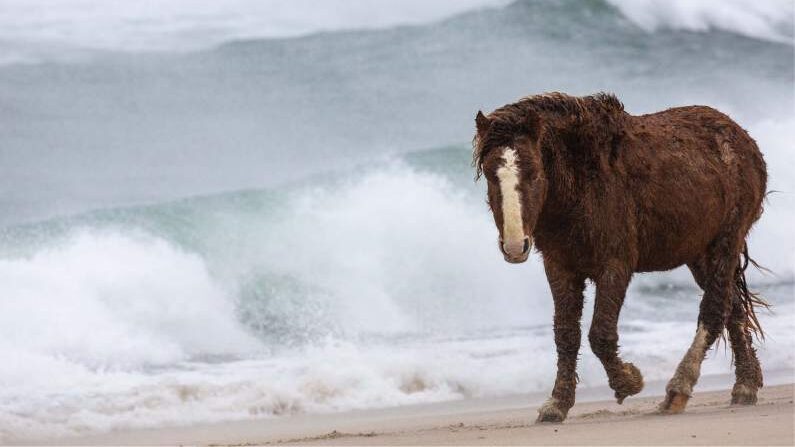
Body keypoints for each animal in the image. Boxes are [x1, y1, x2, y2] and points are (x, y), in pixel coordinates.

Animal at [476, 92, 768, 424]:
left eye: (534, 173)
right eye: (490, 175)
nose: (515, 246)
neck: (581, 183)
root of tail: (742, 138)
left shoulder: (614, 267)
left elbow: (600, 334)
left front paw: (629, 381)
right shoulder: (560, 268)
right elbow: (566, 334)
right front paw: (557, 403)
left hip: (725, 243)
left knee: (715, 311)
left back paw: (679, 389)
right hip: (699, 254)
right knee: (734, 309)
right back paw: (746, 385)